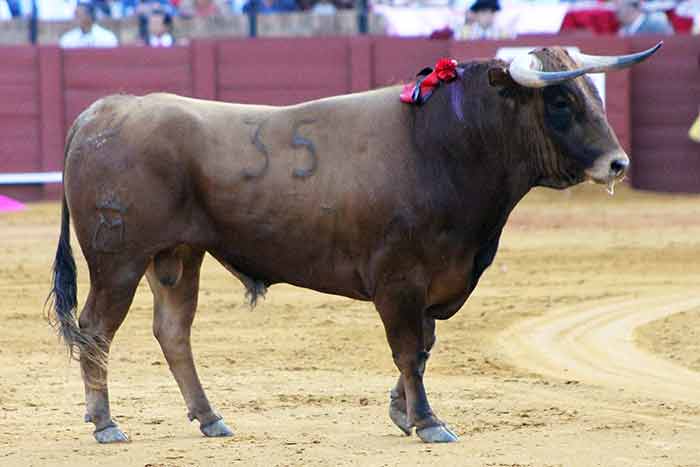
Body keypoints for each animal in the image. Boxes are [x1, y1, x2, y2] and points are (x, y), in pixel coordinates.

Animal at [47, 42, 660, 444]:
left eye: (594, 93)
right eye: (559, 102)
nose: (618, 163)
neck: (445, 143)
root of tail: (103, 111)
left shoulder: (435, 278)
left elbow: (423, 347)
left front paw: (403, 412)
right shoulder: (399, 278)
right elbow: (408, 349)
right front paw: (429, 422)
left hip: (176, 256)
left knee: (173, 332)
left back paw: (210, 418)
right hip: (119, 260)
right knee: (96, 329)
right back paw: (106, 424)